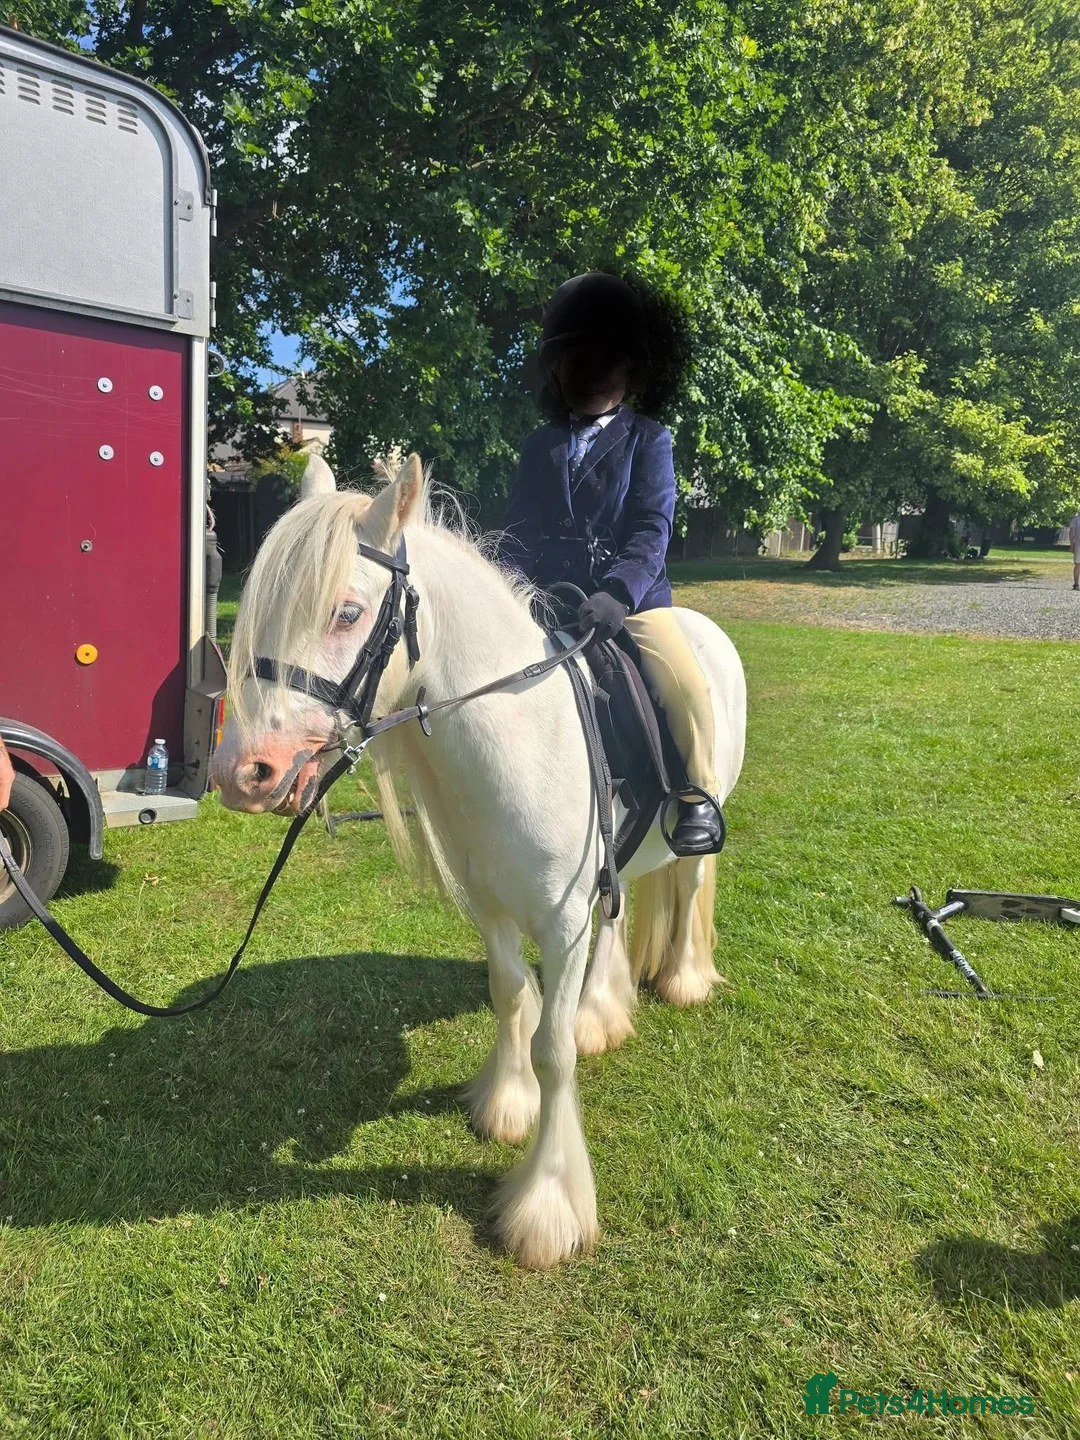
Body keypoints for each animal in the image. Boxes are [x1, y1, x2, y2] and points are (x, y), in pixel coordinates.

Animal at [211, 454, 746, 1268]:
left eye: (346, 613)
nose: (241, 773)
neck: (520, 737)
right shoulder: (491, 907)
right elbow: (511, 996)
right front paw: (505, 1102)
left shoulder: (561, 921)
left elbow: (554, 1051)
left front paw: (548, 1206)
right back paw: (602, 1011)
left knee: (688, 884)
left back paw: (682, 980)